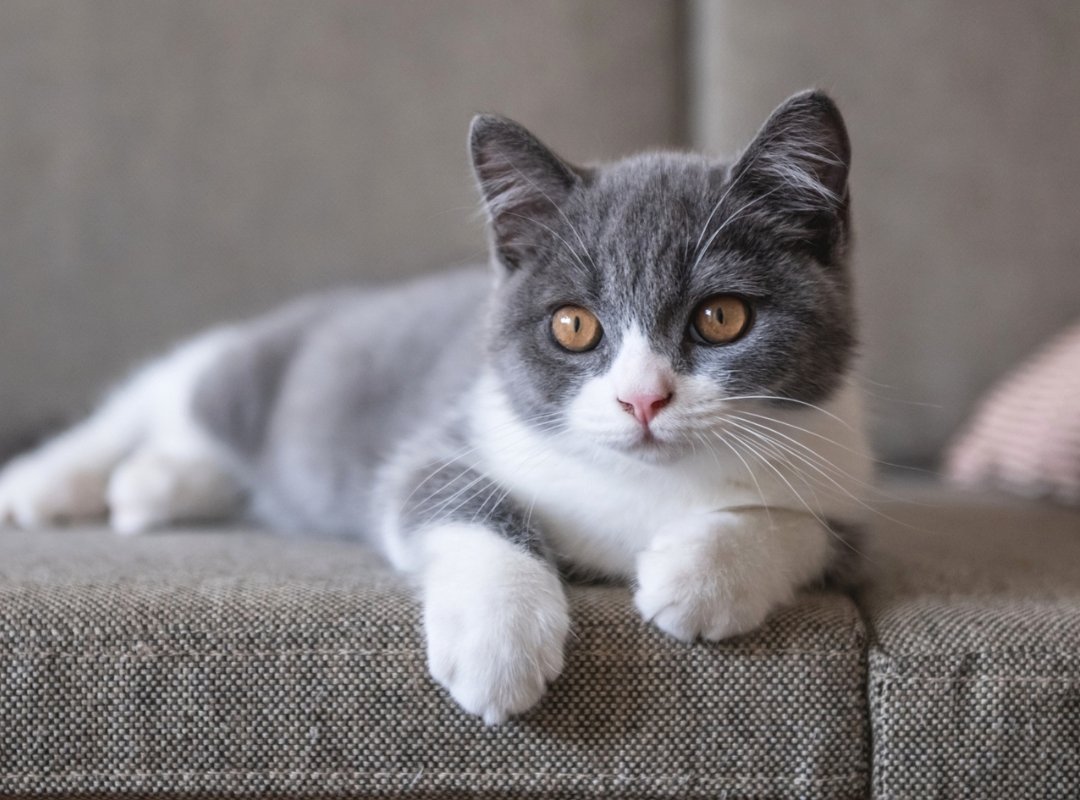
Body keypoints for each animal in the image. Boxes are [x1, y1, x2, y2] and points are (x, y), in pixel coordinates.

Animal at [0, 89, 872, 725]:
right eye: (574, 326)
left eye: (721, 318)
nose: (641, 397)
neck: (642, 489)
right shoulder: (452, 430)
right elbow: (447, 494)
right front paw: (501, 642)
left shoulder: (844, 478)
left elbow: (804, 527)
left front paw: (701, 576)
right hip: (249, 368)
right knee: (163, 392)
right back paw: (53, 483)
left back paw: (154, 487)